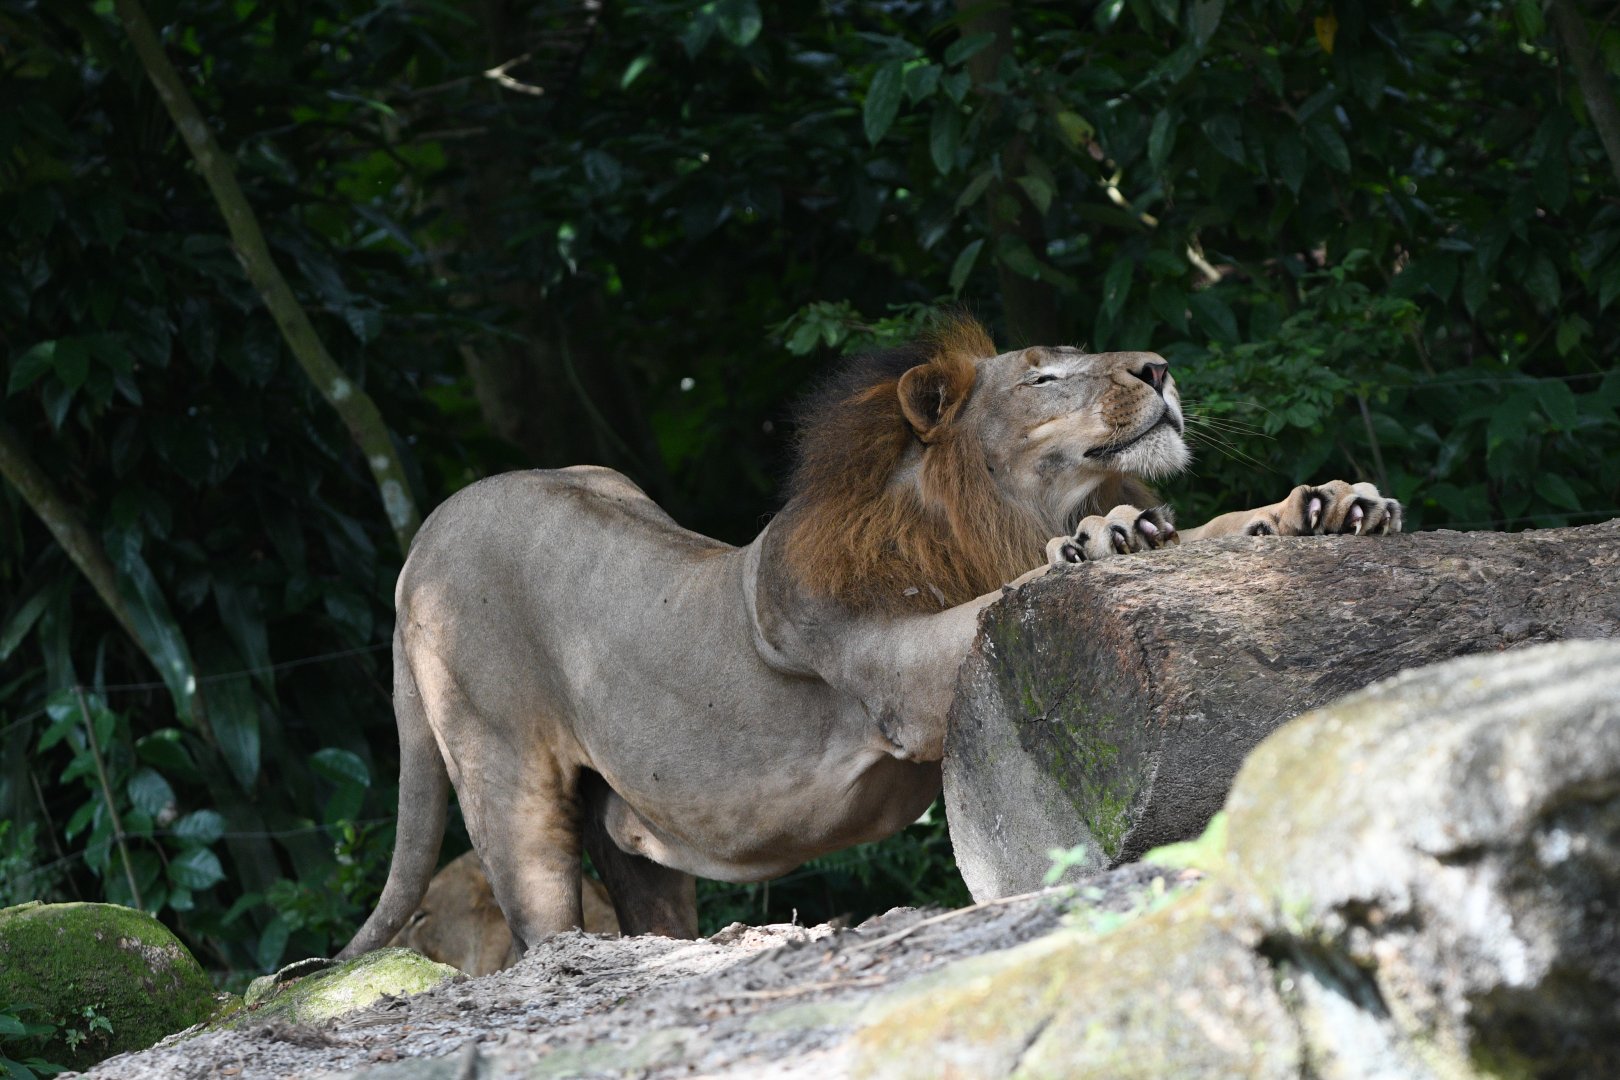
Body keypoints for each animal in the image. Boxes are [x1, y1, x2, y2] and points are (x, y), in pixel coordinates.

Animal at [339, 316, 1401, 957]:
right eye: (1046, 376)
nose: (1160, 370)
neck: (992, 515)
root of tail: (419, 544)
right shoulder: (888, 675)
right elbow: (1010, 594)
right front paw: (1101, 540)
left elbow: (1215, 531)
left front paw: (1324, 506)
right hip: (505, 775)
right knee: (539, 917)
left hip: (635, 828)